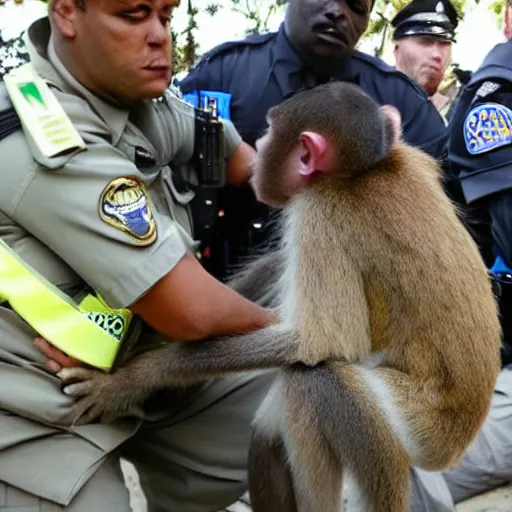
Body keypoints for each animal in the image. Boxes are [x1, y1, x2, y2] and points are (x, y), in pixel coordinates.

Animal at [58, 82, 502, 510]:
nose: (257, 147)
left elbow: (318, 341)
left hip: (412, 425)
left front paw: (141, 375)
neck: (360, 174)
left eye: (272, 131)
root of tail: (453, 446)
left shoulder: (318, 210)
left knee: (315, 381)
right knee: (273, 426)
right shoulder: (409, 156)